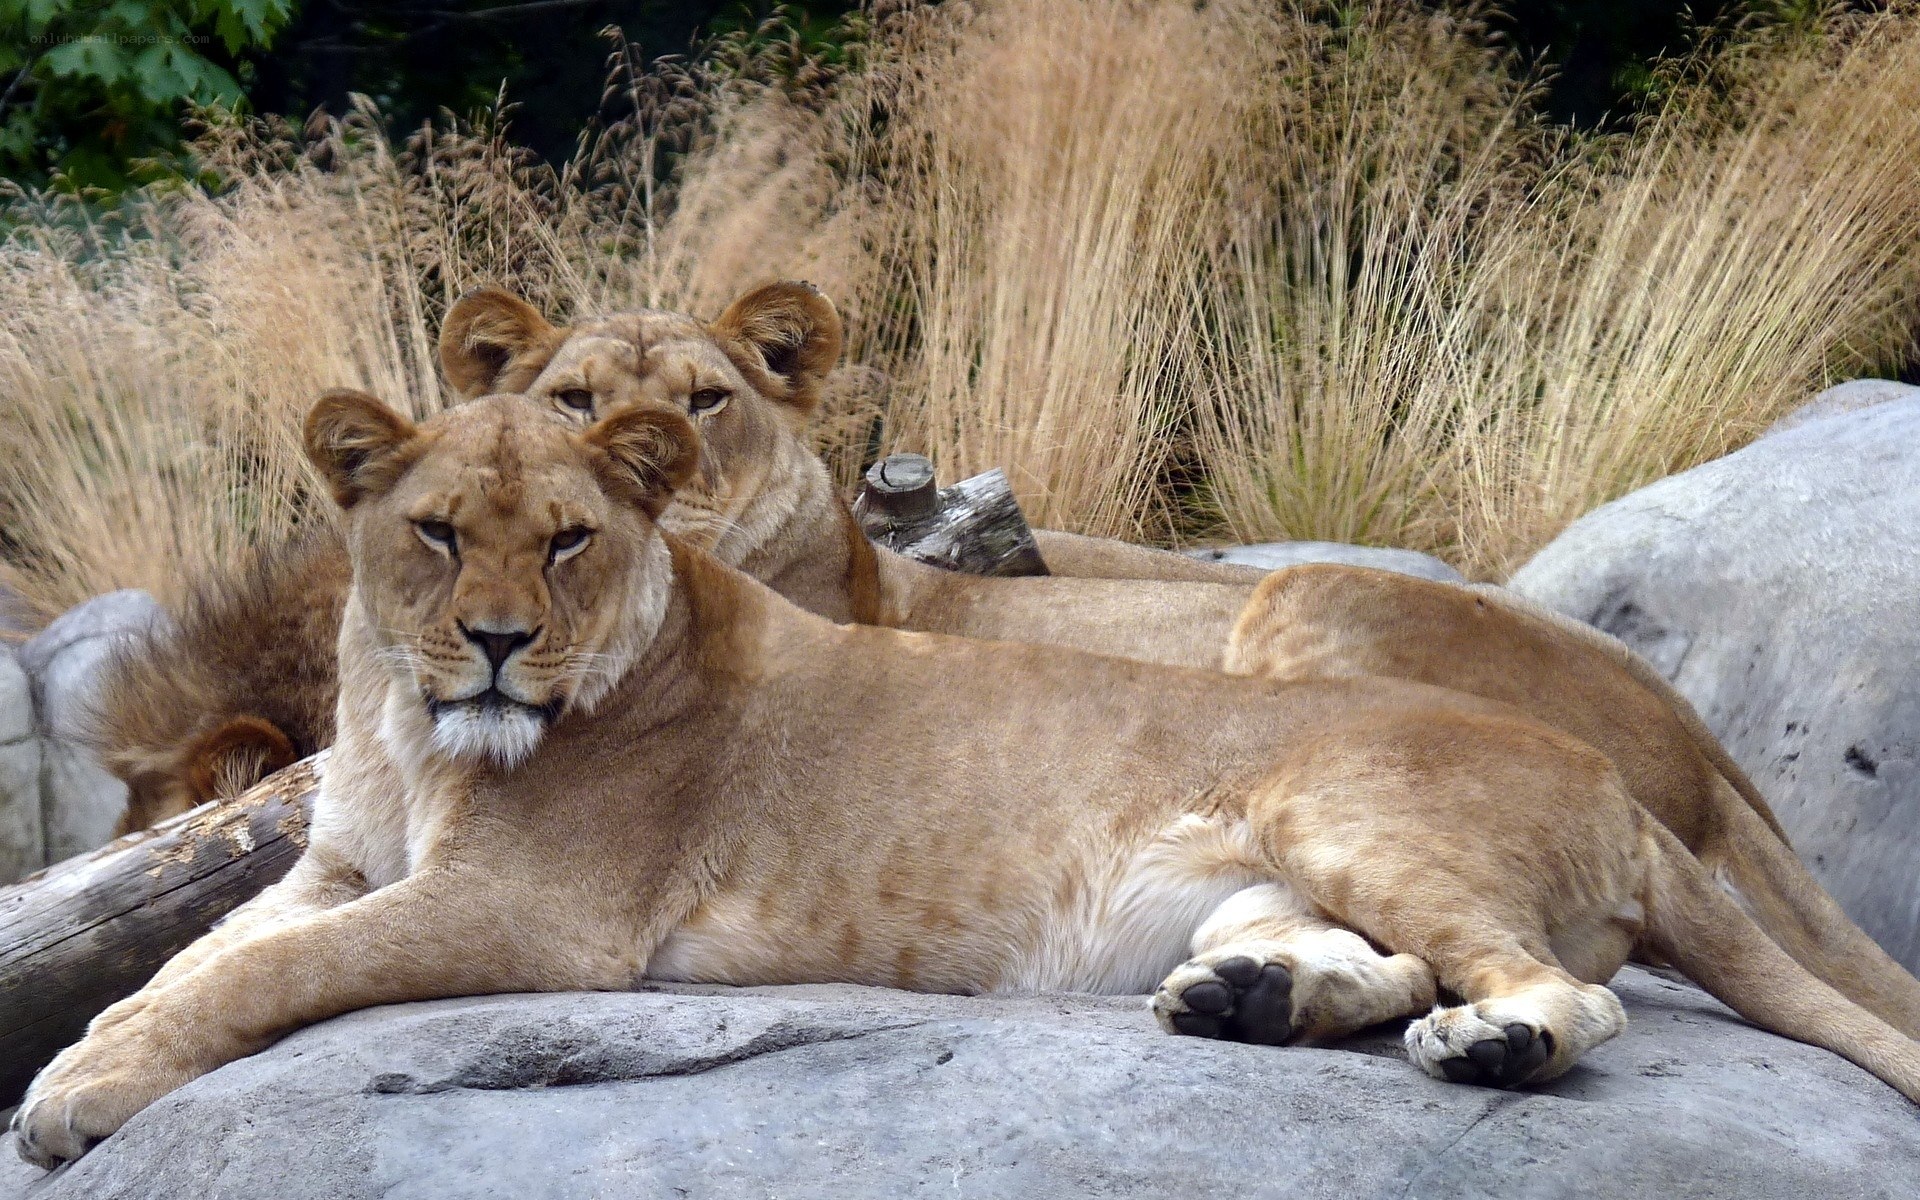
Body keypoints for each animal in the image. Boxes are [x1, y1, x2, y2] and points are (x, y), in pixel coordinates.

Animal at [17, 390, 1920, 1168]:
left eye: (565, 540)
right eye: (431, 534)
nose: (494, 645)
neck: (413, 737)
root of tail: (1635, 777)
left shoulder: (533, 913)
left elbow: (259, 980)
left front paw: (79, 1096)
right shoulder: (335, 863)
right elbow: (198, 957)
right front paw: (81, 1055)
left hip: (1335, 784)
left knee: (1558, 996)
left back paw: (1489, 1050)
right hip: (1267, 867)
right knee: (1376, 963)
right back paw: (1246, 1003)